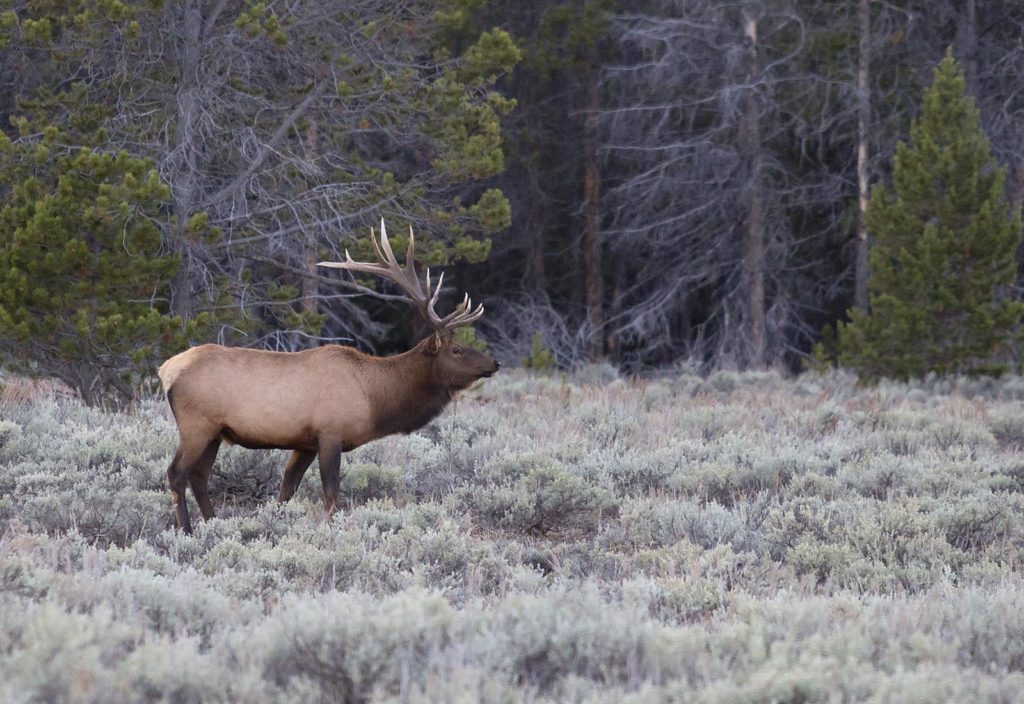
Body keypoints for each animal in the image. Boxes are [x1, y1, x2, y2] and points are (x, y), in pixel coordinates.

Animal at [154, 218, 499, 528]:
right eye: (456, 350)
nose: (494, 363)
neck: (375, 398)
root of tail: (166, 370)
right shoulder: (330, 433)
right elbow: (331, 493)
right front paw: (326, 531)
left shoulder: (305, 442)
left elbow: (286, 489)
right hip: (197, 425)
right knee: (176, 473)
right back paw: (186, 530)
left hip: (215, 431)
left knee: (199, 476)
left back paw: (212, 524)